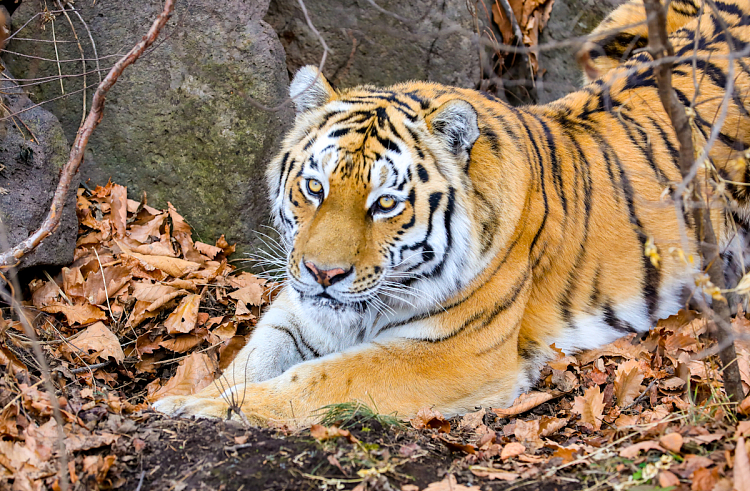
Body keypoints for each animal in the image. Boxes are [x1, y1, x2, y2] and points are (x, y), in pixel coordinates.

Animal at [156, 0, 750, 422]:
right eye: (315, 188)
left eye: (385, 203)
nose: (324, 274)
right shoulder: (299, 310)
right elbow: (253, 357)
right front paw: (193, 396)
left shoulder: (454, 354)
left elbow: (324, 379)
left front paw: (206, 408)